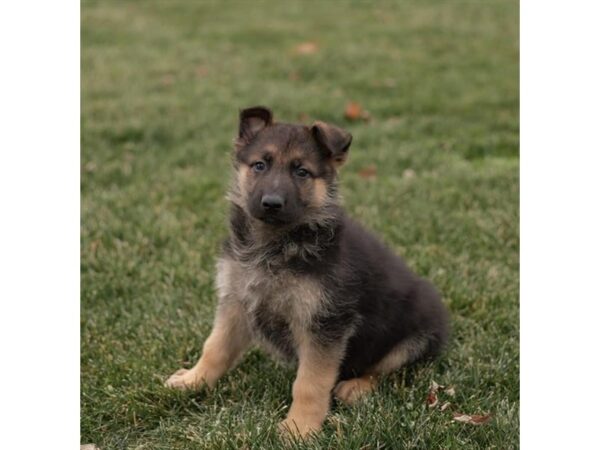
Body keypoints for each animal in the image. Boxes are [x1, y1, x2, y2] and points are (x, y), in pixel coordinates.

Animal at [166, 105, 448, 436]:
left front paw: (299, 428)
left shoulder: (323, 322)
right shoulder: (236, 301)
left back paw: (356, 387)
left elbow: (310, 382)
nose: (271, 203)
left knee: (390, 369)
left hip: (417, 335)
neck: (275, 245)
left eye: (301, 172)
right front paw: (193, 381)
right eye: (260, 165)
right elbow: (215, 347)